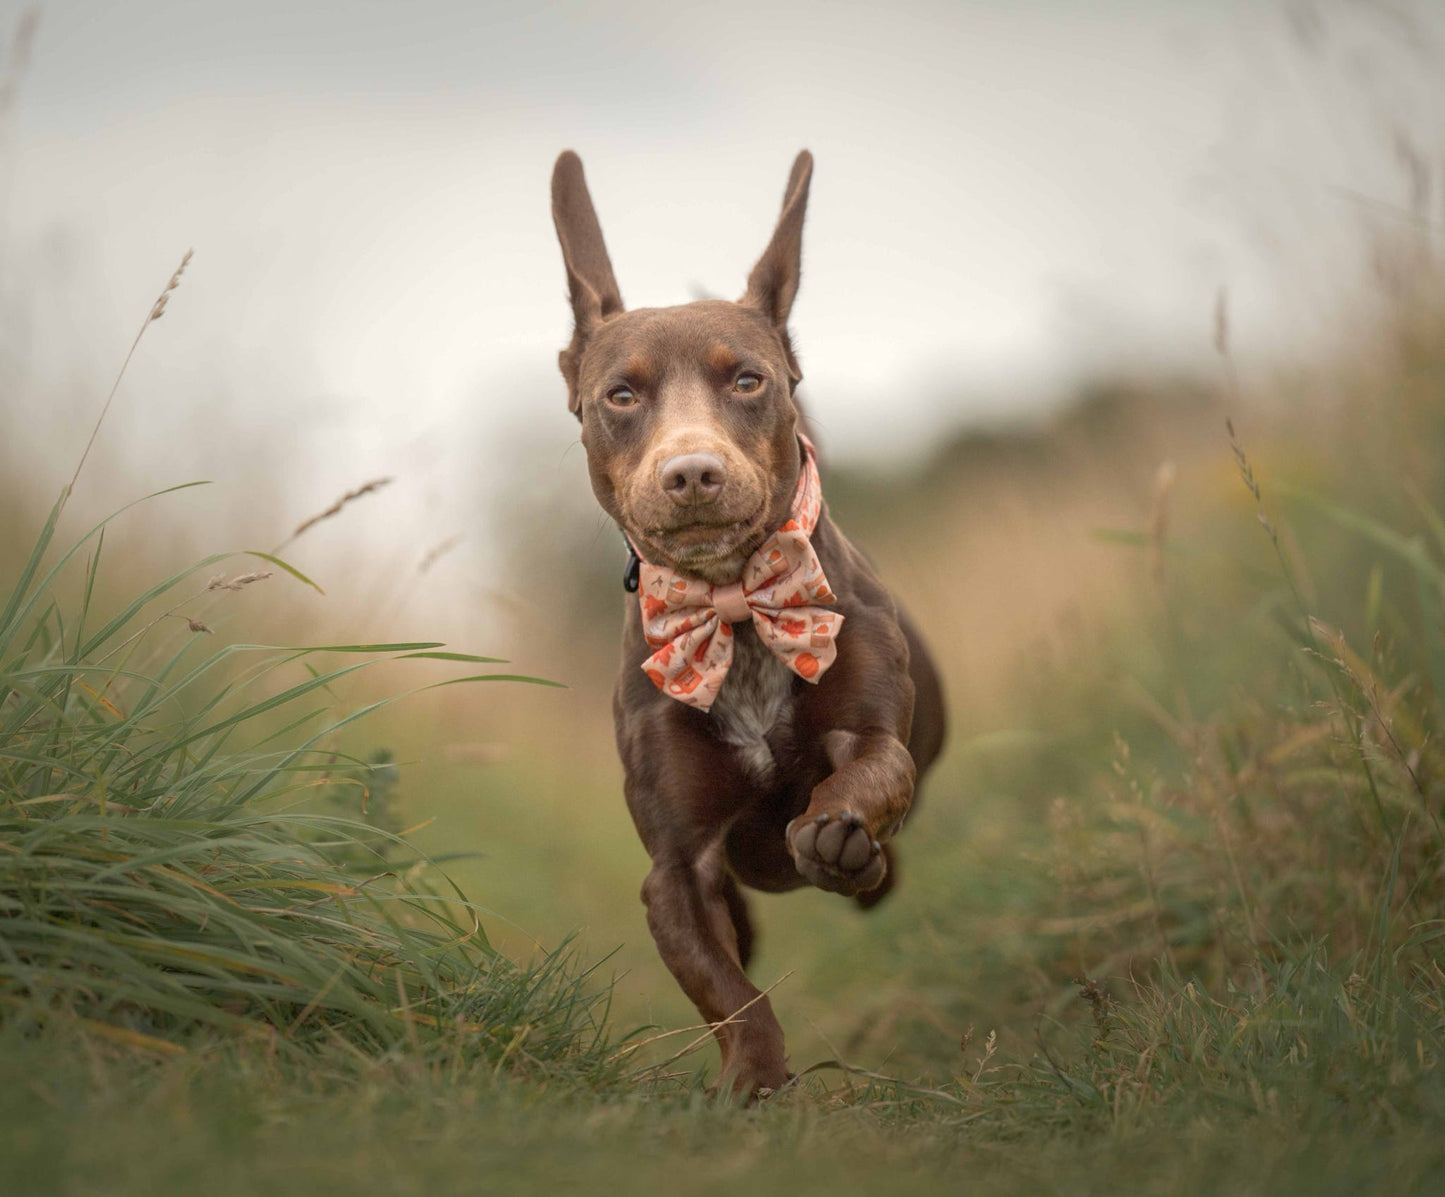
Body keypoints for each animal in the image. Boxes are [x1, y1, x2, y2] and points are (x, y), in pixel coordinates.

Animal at [546, 147, 942, 1092]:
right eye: (620, 395)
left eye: (747, 379)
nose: (692, 472)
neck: (730, 600)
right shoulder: (675, 867)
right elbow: (729, 989)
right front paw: (755, 1080)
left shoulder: (873, 731)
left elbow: (875, 770)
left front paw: (839, 831)